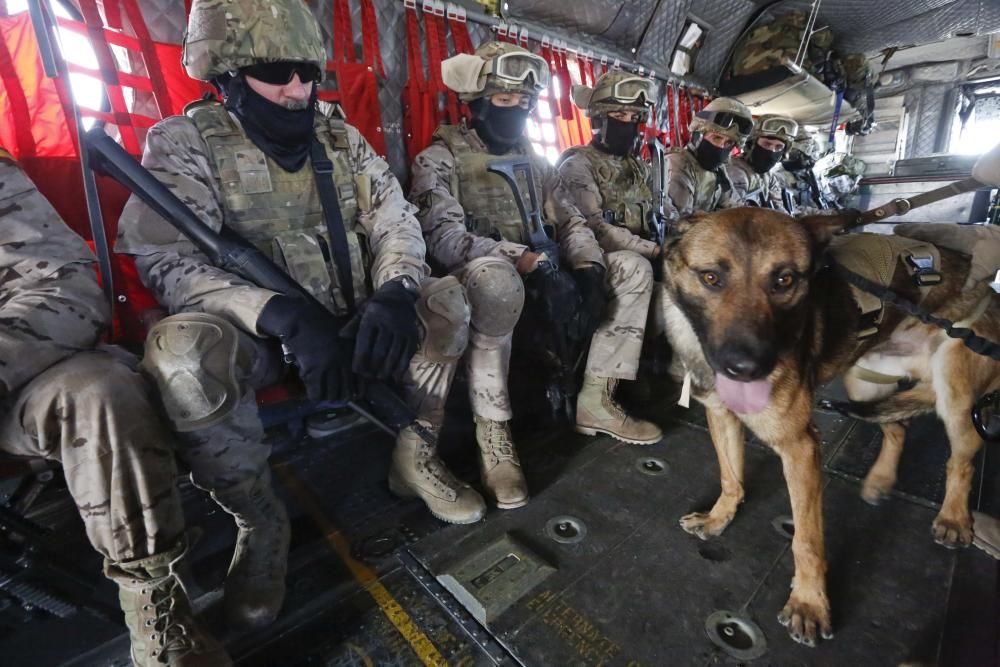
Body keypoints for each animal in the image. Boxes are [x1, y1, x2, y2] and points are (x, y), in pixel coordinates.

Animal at [660, 209, 996, 648]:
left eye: (784, 280)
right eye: (711, 277)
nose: (747, 368)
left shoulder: (800, 446)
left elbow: (806, 539)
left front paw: (809, 604)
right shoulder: (721, 415)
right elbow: (731, 478)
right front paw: (719, 518)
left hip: (954, 393)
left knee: (962, 457)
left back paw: (954, 517)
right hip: (863, 379)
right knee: (898, 427)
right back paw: (880, 480)